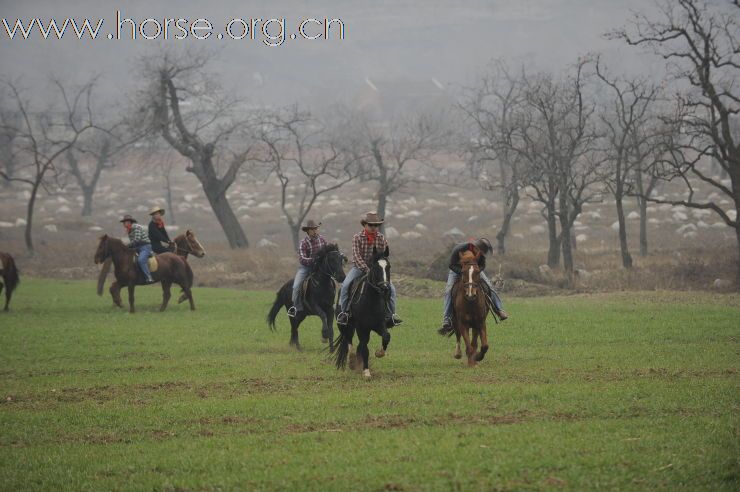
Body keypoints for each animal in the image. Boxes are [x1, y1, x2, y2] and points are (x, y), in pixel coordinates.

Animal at [330, 246, 394, 376]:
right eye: (375, 267)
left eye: (388, 267)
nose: (385, 288)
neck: (371, 300)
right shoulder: (361, 327)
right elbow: (364, 348)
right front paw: (366, 372)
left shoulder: (379, 324)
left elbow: (386, 336)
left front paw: (379, 353)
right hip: (345, 325)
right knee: (349, 340)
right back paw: (352, 361)